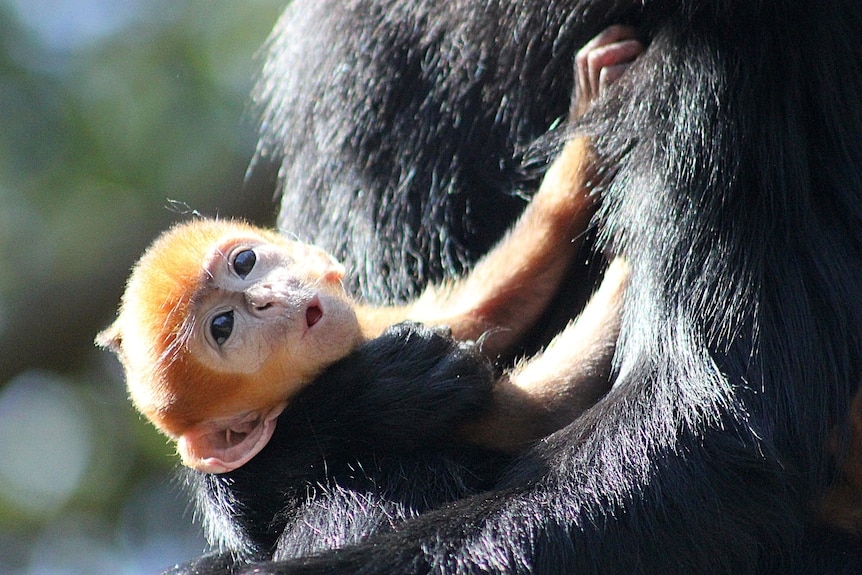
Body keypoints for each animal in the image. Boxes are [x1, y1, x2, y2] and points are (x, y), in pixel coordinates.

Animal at [98, 28, 644, 472]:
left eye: (245, 262)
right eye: (223, 327)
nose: (265, 298)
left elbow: (489, 304)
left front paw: (585, 132)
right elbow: (545, 407)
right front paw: (628, 269)